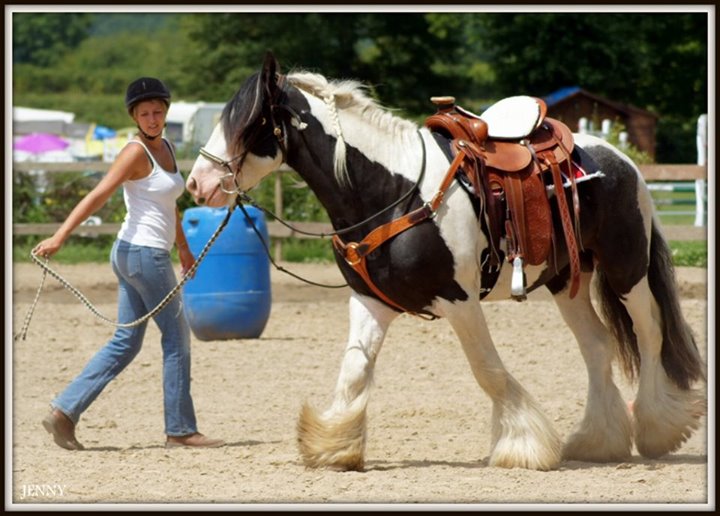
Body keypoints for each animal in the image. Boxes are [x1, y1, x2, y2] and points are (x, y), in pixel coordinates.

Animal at [184, 53, 704, 472]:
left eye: (248, 122)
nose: (197, 184)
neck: (394, 191)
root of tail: (620, 159)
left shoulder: (459, 300)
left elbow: (487, 369)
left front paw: (523, 446)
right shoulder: (370, 301)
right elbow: (354, 371)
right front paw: (334, 447)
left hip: (626, 269)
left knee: (650, 333)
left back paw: (658, 427)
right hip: (565, 281)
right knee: (597, 345)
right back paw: (598, 441)